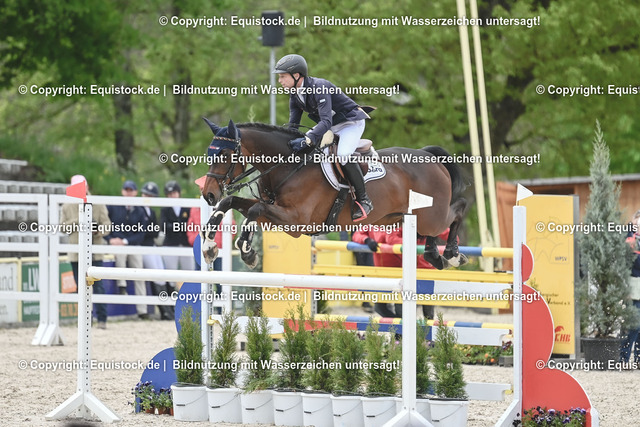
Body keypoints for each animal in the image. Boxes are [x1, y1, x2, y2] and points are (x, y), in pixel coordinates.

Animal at [199, 118, 469, 270]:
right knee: (435, 229)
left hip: (431, 215)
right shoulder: (277, 215)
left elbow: (254, 210)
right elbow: (231, 201)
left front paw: (247, 252)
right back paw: (436, 257)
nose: (208, 194)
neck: (288, 165)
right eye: (209, 153)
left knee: (459, 209)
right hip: (400, 217)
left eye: (224, 154)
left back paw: (452, 254)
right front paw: (209, 246)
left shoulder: (296, 221)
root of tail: (430, 157)